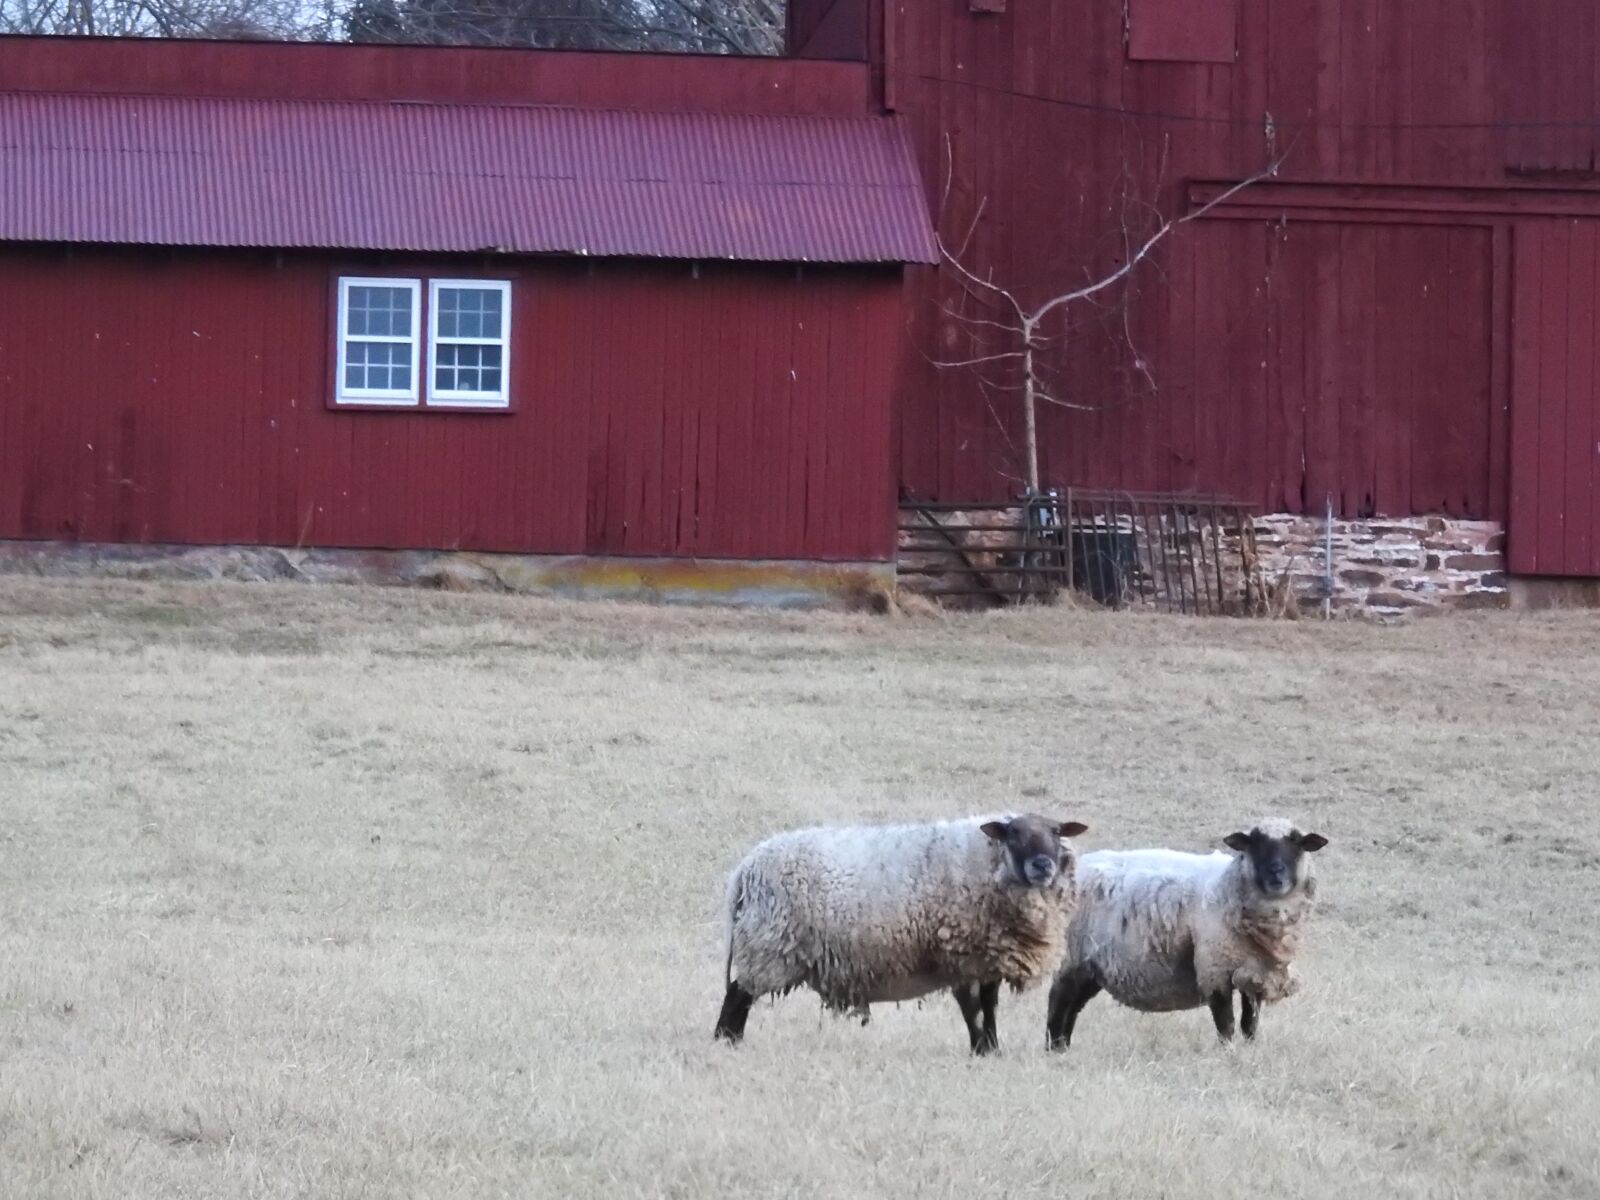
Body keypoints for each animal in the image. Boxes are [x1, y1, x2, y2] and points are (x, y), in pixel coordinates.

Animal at [713, 812, 1088, 1055]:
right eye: (1013, 834)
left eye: (1057, 833)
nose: (1042, 865)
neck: (988, 864)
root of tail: (745, 869)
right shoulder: (963, 957)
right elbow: (975, 1010)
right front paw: (982, 1049)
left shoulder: (985, 961)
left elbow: (987, 1007)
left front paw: (991, 1050)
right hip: (768, 945)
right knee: (737, 996)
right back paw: (727, 1042)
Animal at [1045, 819, 1327, 1049]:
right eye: (1253, 844)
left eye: (1296, 843)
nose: (1275, 872)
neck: (1228, 886)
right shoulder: (1214, 968)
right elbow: (1226, 1022)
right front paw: (1228, 1053)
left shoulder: (1254, 973)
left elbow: (1250, 1023)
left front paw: (1250, 1050)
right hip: (1073, 955)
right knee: (1059, 1001)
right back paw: (1054, 1049)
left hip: (1092, 966)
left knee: (1073, 1006)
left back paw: (1063, 1048)